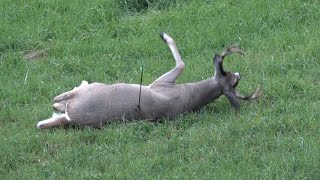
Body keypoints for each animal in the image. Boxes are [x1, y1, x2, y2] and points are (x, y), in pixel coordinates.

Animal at [37, 31, 262, 129]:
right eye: (233, 80)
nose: (240, 74)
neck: (189, 95)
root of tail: (72, 117)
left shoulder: (162, 83)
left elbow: (182, 64)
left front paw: (163, 34)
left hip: (94, 88)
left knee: (59, 99)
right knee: (46, 118)